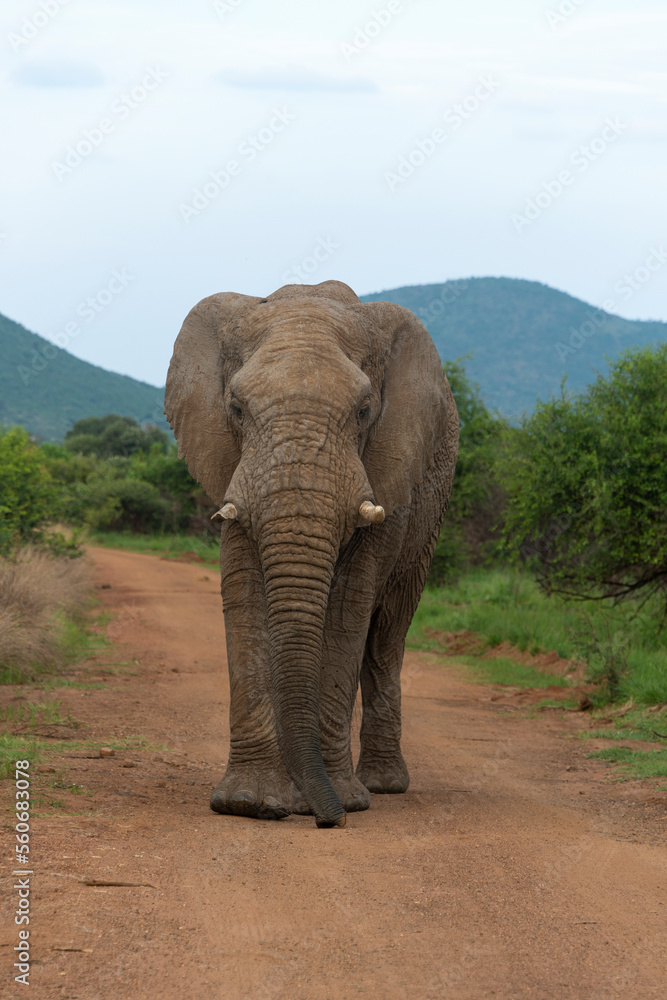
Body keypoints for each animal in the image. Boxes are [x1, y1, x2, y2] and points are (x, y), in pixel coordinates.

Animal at [165, 280, 458, 828]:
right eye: (236, 408)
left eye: (364, 411)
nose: (329, 820)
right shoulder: (234, 473)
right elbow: (244, 596)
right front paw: (250, 804)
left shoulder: (386, 470)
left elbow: (346, 610)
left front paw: (343, 799)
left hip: (429, 520)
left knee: (386, 636)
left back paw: (382, 785)